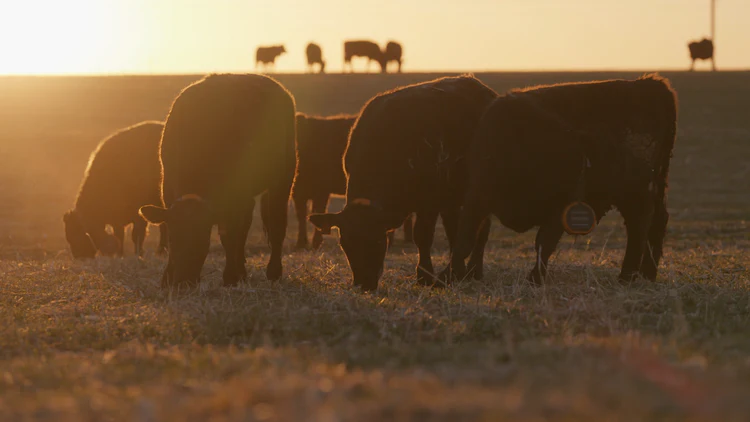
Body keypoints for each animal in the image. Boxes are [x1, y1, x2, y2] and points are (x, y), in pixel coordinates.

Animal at [64, 121, 168, 259]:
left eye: (77, 236)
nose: (79, 257)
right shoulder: (117, 220)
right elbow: (120, 236)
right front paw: (120, 255)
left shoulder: (139, 214)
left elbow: (137, 235)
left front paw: (138, 254)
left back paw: (161, 251)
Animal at [139, 73, 296, 288]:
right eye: (173, 239)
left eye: (203, 240)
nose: (182, 282)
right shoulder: (167, 189)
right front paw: (167, 278)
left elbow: (229, 236)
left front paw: (230, 276)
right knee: (246, 225)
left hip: (283, 177)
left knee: (276, 224)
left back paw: (273, 272)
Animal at [291, 112, 413, 249]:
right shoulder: (299, 191)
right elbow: (302, 215)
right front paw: (301, 243)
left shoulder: (321, 190)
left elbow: (317, 210)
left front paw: (315, 243)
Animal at [309, 75, 497, 292]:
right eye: (345, 244)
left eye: (378, 241)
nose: (364, 284)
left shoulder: (429, 202)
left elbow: (422, 236)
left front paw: (424, 276)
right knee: (457, 230)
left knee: (482, 229)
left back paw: (474, 271)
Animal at [453, 74, 677, 285]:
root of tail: (649, 84)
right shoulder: (478, 196)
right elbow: (466, 238)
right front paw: (452, 274)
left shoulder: (559, 206)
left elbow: (544, 243)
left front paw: (535, 279)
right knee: (657, 221)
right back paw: (647, 275)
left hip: (635, 193)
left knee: (639, 226)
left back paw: (627, 277)